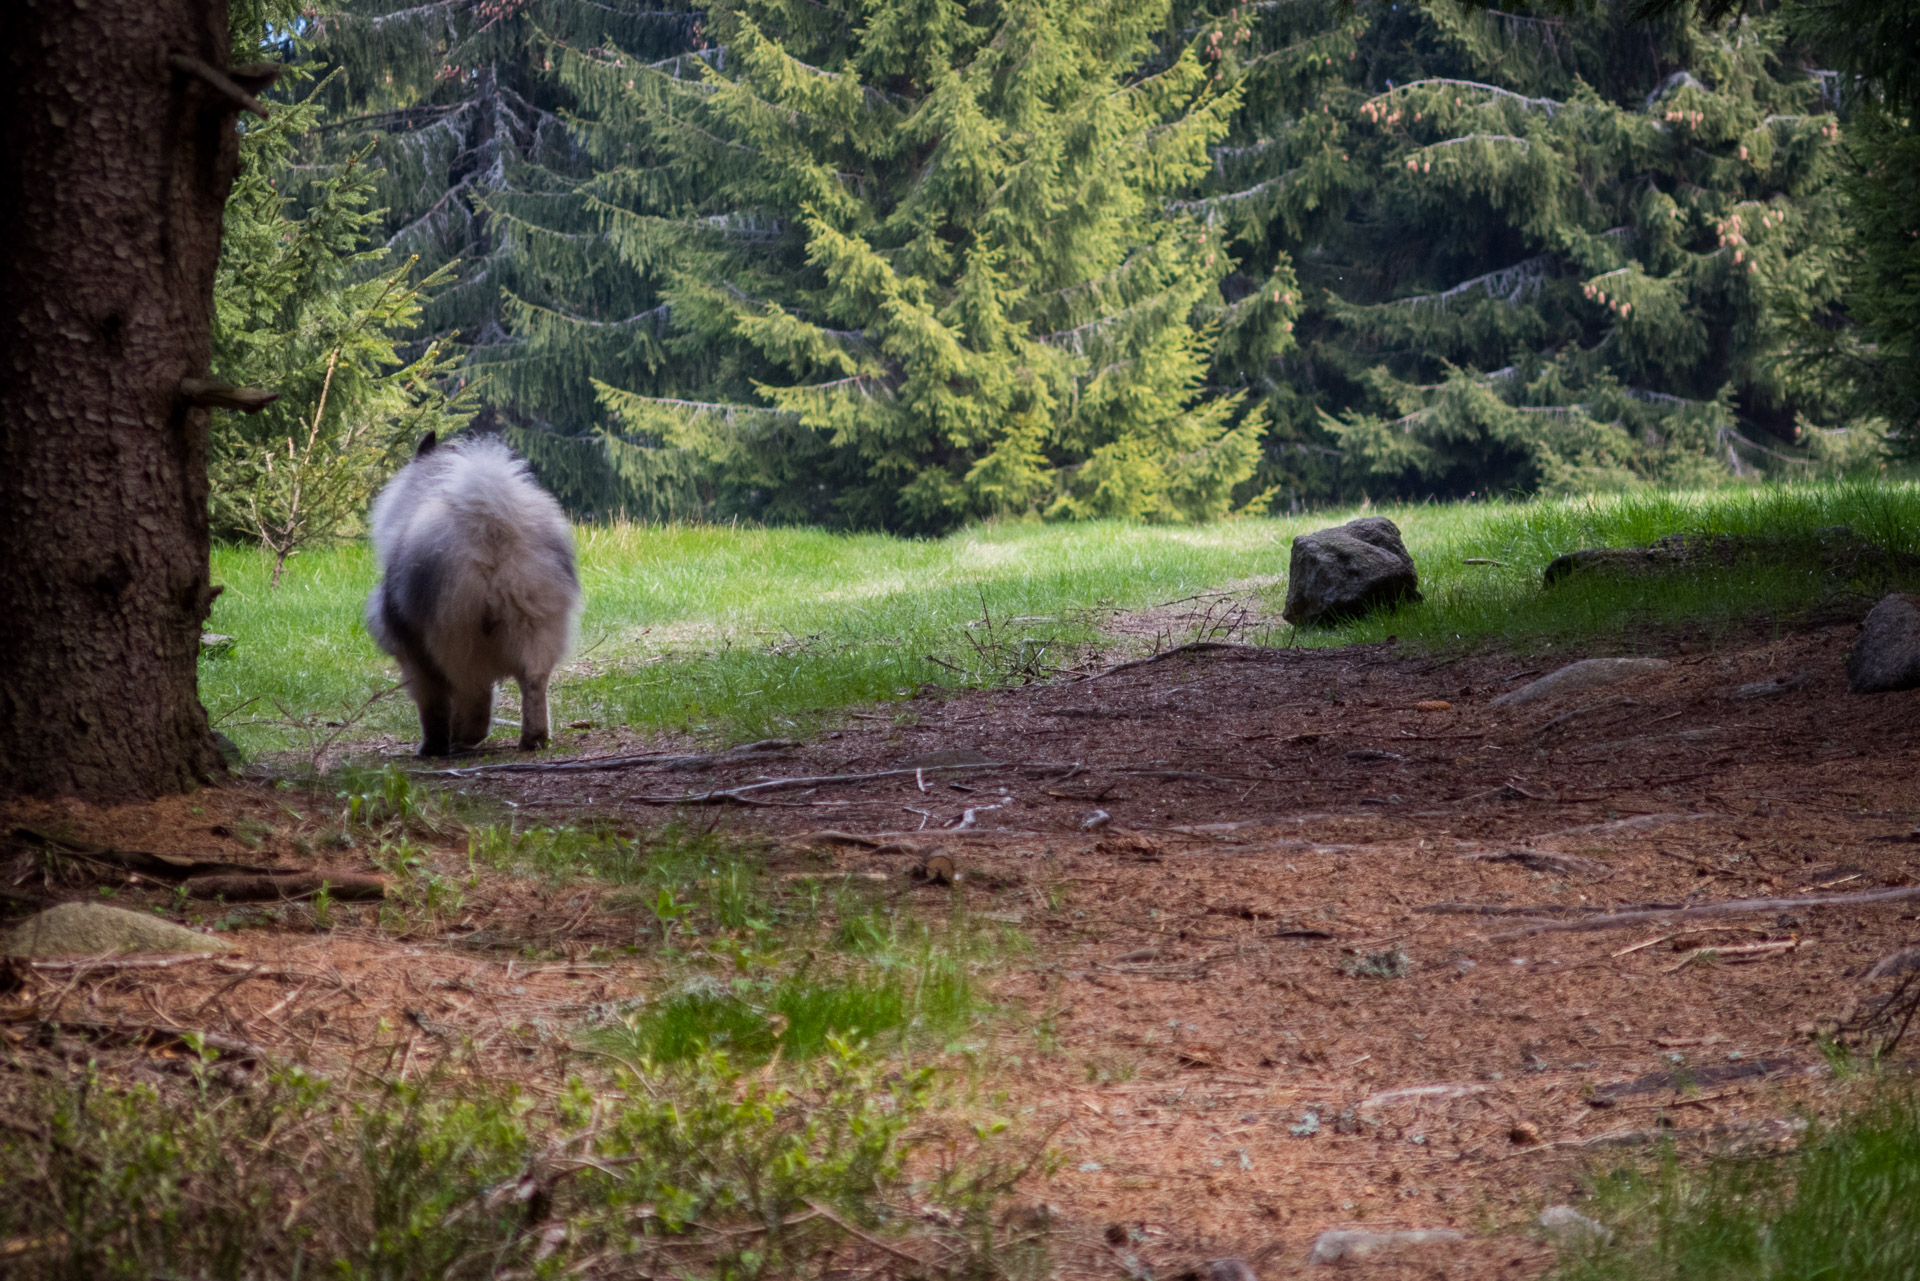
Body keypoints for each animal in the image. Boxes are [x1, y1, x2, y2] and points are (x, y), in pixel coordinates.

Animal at [362, 434, 579, 752]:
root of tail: (491, 524)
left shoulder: (416, 657)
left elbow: (433, 707)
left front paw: (433, 745)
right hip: (535, 628)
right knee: (533, 685)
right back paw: (533, 738)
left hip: (455, 638)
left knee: (472, 692)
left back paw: (460, 740)